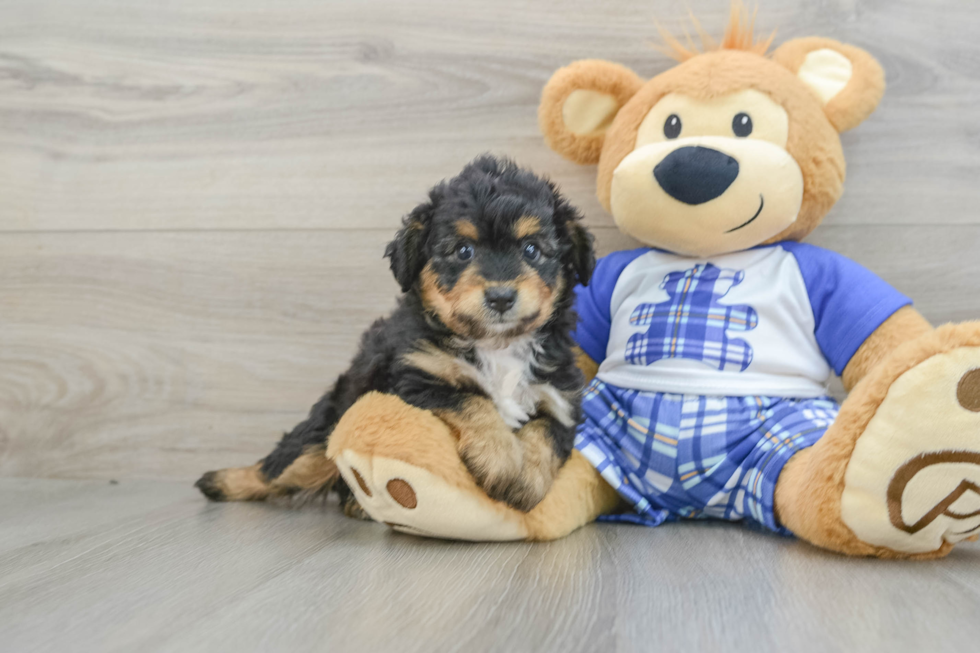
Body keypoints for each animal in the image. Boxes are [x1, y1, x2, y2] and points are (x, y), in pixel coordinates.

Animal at [195, 155, 592, 512]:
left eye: (532, 249)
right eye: (463, 250)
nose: (500, 296)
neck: (496, 344)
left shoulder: (560, 398)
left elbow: (546, 435)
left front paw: (527, 482)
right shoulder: (415, 380)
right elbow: (473, 401)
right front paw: (503, 461)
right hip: (327, 428)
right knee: (281, 466)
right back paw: (220, 481)